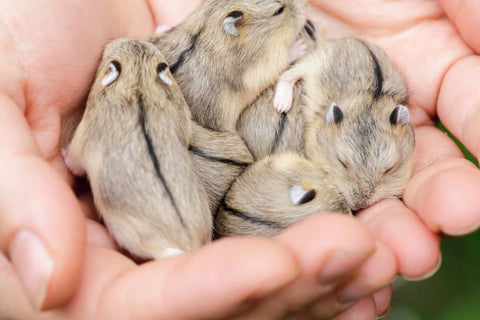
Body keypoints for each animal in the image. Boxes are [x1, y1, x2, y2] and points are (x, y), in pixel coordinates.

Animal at [64, 38, 211, 260]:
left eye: (110, 59)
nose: (114, 42)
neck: (138, 84)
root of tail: (191, 244)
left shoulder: (84, 135)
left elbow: (74, 161)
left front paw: (63, 152)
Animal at [272, 37, 414, 211]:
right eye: (342, 162)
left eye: (389, 169)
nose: (358, 206)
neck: (371, 101)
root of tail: (352, 39)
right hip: (311, 62)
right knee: (287, 74)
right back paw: (282, 104)